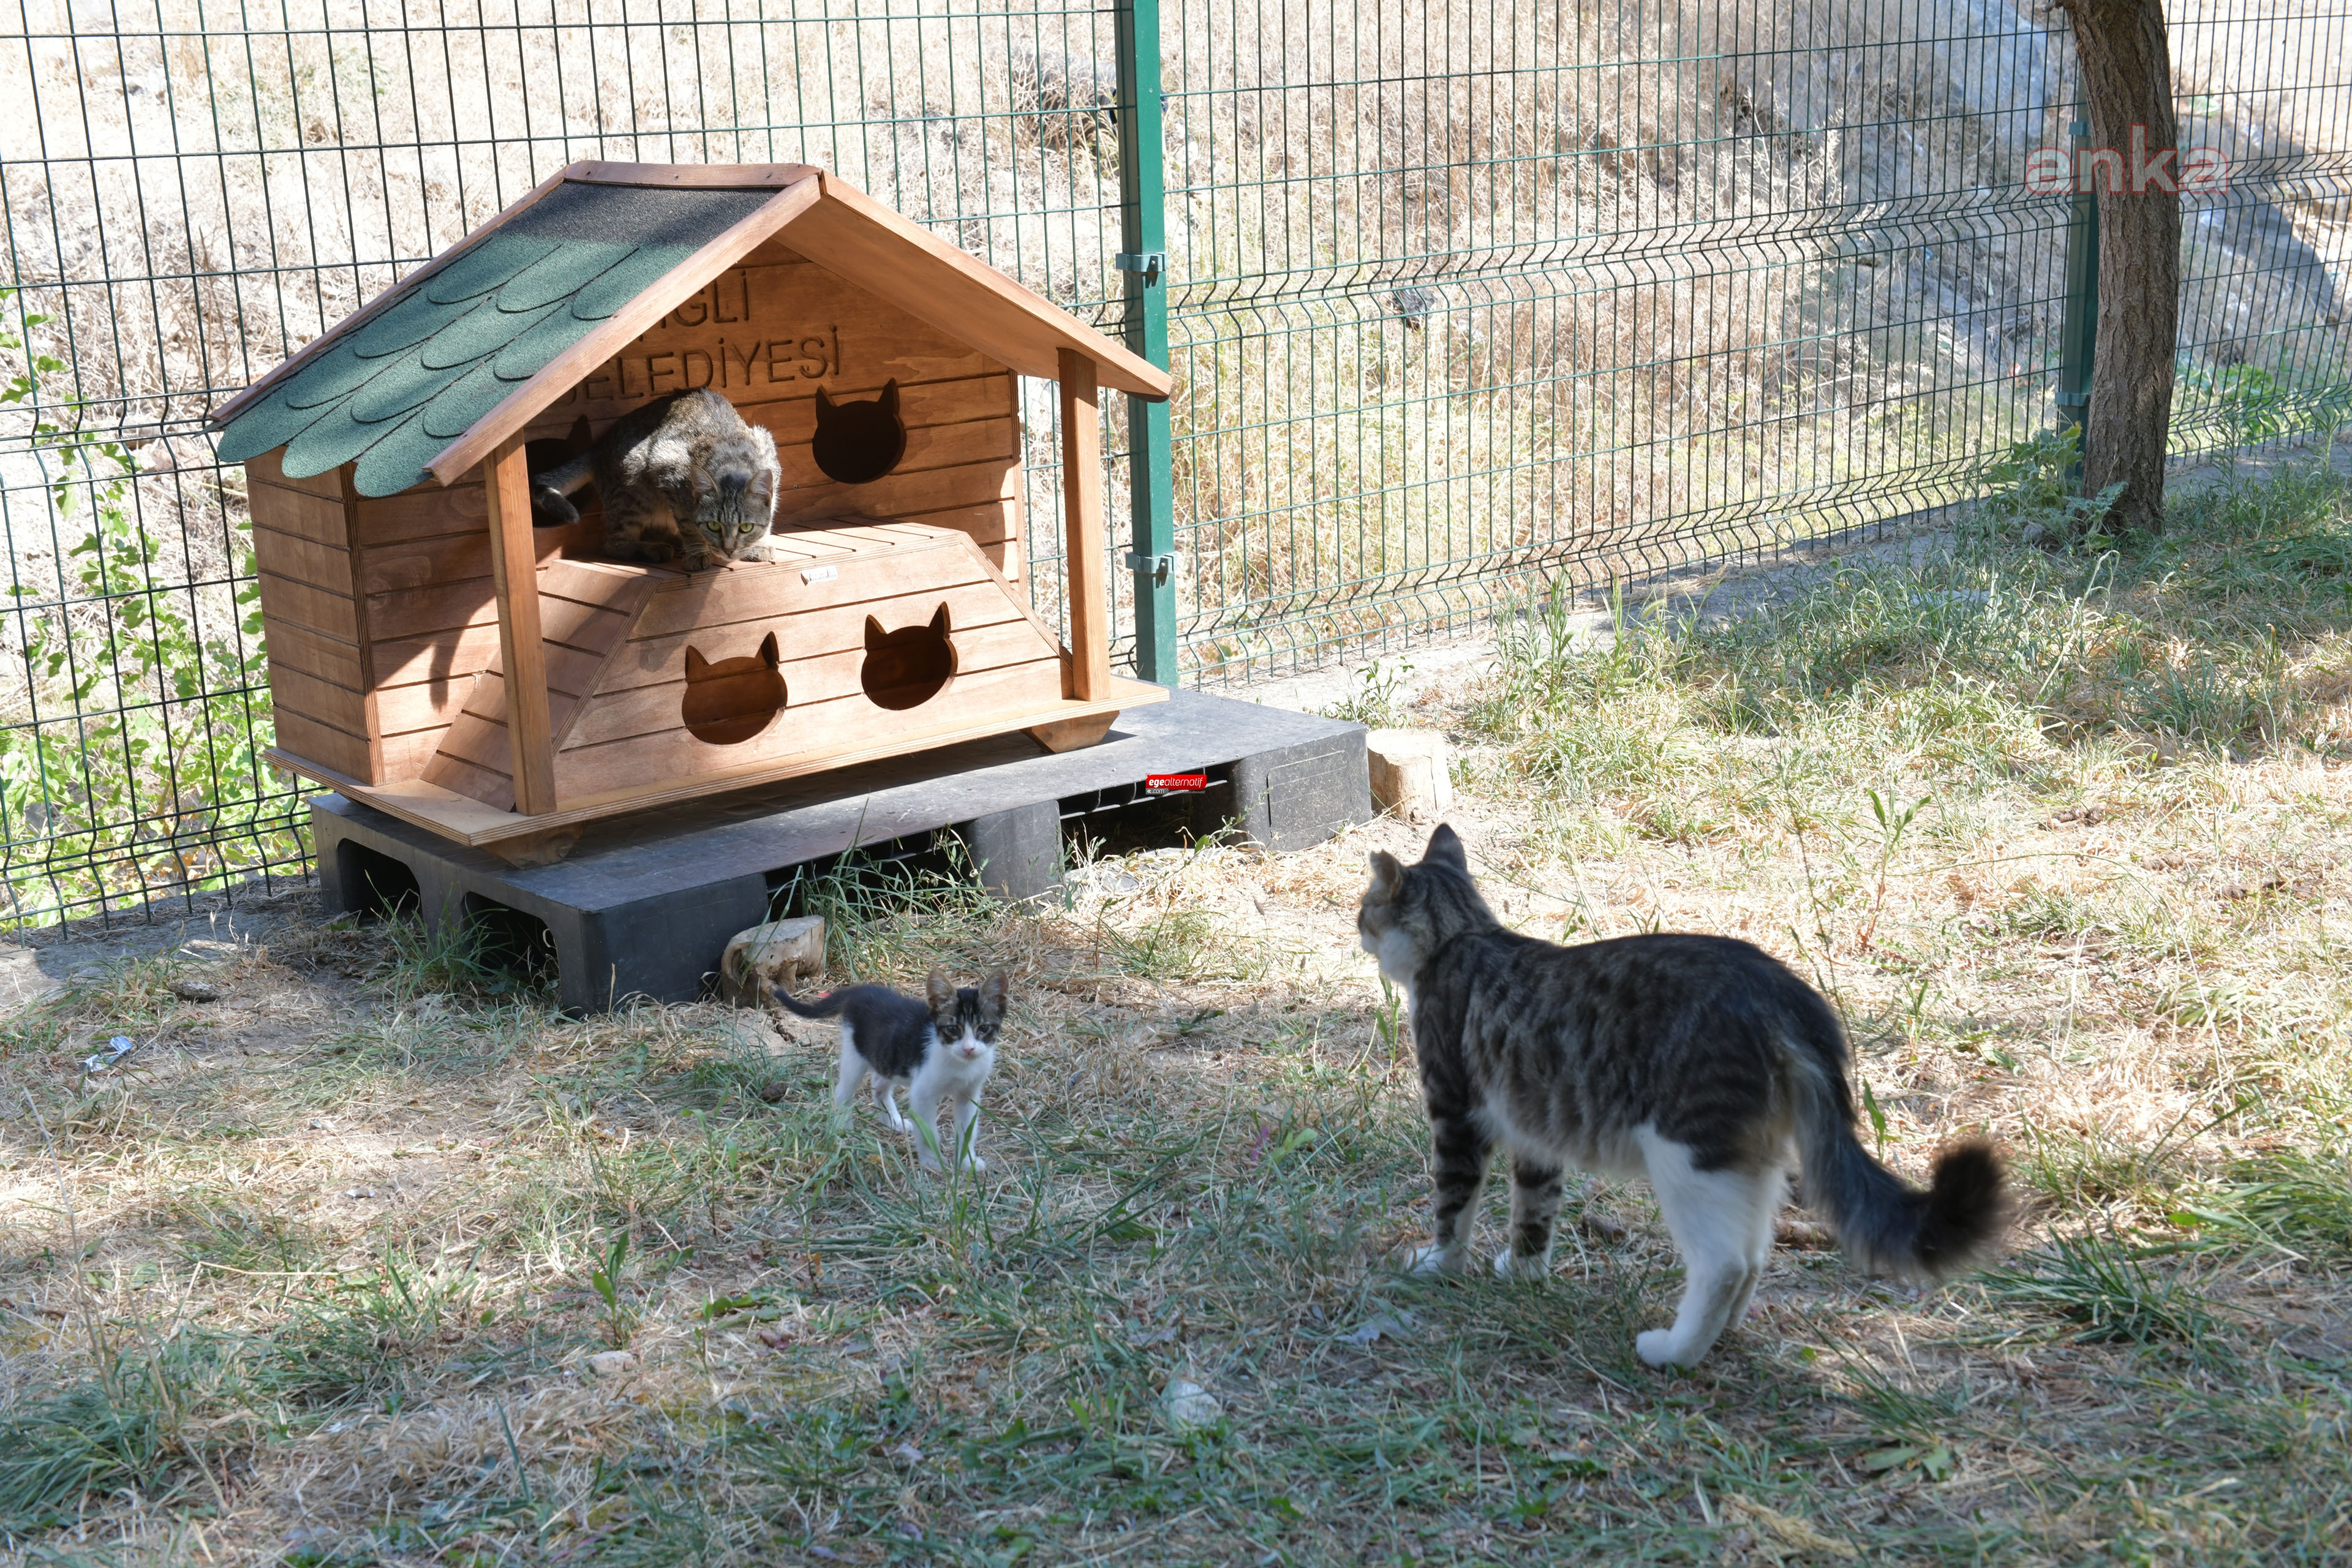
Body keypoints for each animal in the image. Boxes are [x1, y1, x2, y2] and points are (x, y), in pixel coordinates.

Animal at [531, 388, 780, 571]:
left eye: (745, 527)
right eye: (713, 526)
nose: (729, 549)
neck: (732, 460)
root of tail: (600, 446)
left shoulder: (769, 451)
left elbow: (768, 515)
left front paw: (760, 543)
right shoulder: (666, 464)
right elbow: (688, 523)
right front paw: (697, 552)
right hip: (635, 489)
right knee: (612, 545)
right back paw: (652, 550)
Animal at [776, 968, 1006, 1175]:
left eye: (983, 1029)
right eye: (953, 1030)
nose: (969, 1049)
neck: (959, 1063)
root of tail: (860, 990)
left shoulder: (969, 1095)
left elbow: (968, 1131)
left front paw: (968, 1162)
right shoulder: (922, 1093)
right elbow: (928, 1131)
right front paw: (931, 1162)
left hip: (887, 1057)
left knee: (879, 1085)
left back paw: (893, 1122)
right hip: (855, 1054)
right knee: (843, 1092)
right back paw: (842, 1128)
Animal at [1364, 827, 2003, 1363]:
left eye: (1365, 908)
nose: (1358, 928)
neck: (1464, 935)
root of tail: (1780, 991)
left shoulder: (1455, 1116)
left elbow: (1453, 1207)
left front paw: (1439, 1266)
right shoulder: (1536, 1134)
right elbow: (1535, 1214)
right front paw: (1523, 1274)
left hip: (1687, 1159)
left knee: (1726, 1264)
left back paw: (1674, 1352)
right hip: (1751, 1165)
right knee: (1755, 1255)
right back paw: (1722, 1333)